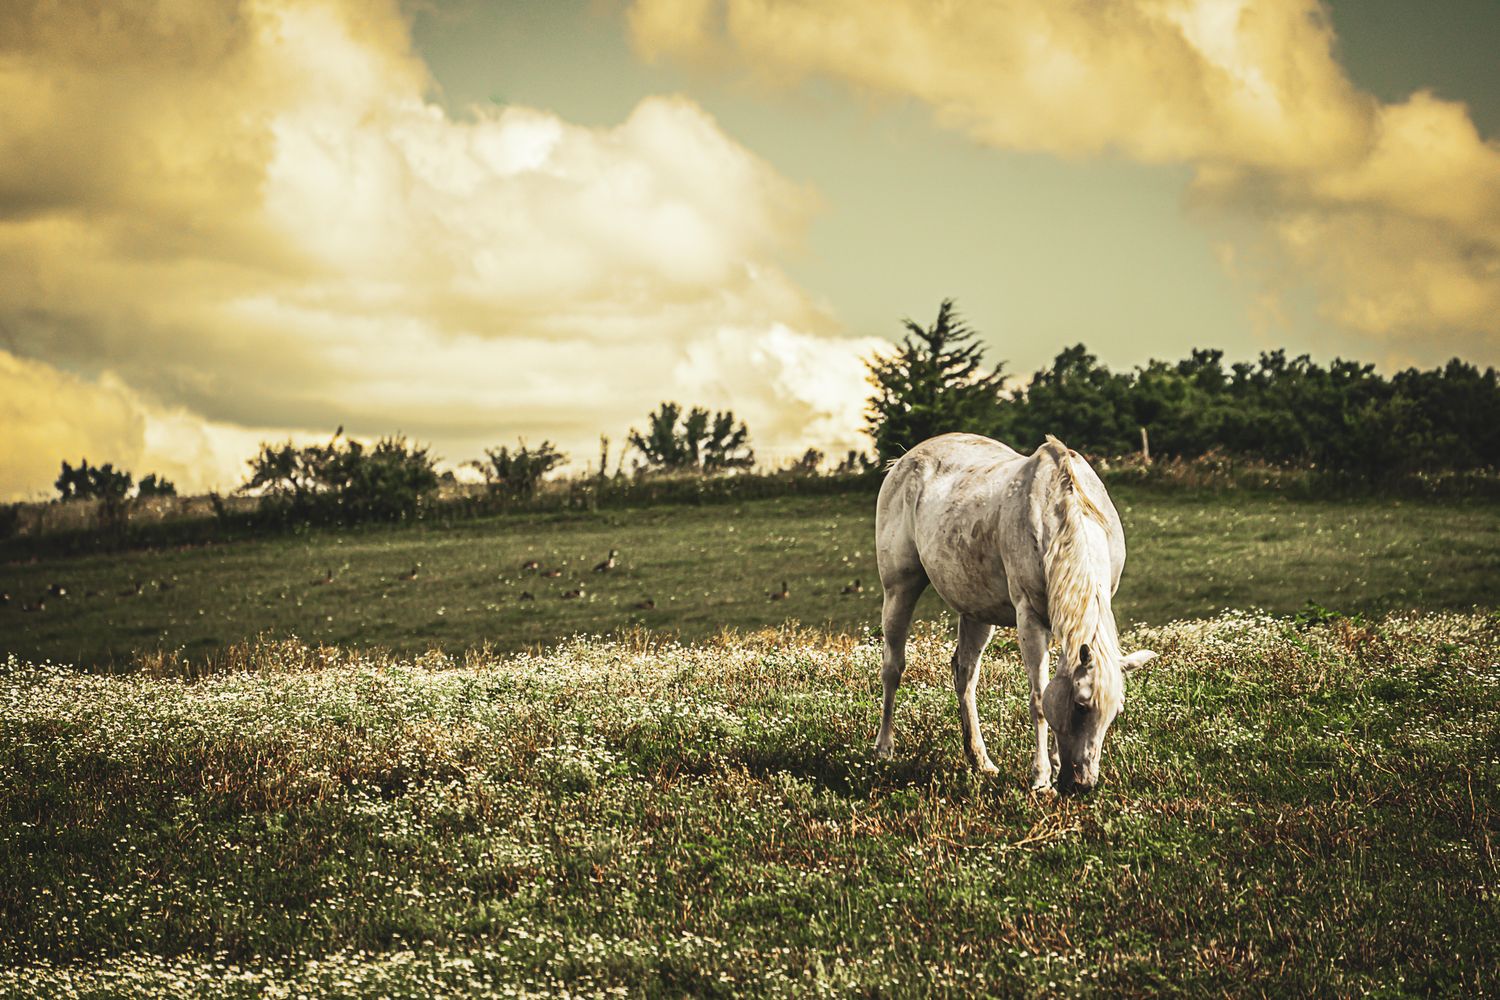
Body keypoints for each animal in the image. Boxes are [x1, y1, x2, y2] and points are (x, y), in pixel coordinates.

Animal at [873, 433, 1156, 792]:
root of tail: (905, 459)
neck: (1062, 515)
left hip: (976, 610)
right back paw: (884, 748)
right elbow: (1038, 698)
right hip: (899, 588)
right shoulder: (1030, 618)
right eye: (1081, 705)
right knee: (892, 667)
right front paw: (1041, 777)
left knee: (965, 675)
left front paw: (1053, 765)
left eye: (1115, 712)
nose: (1082, 784)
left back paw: (980, 761)